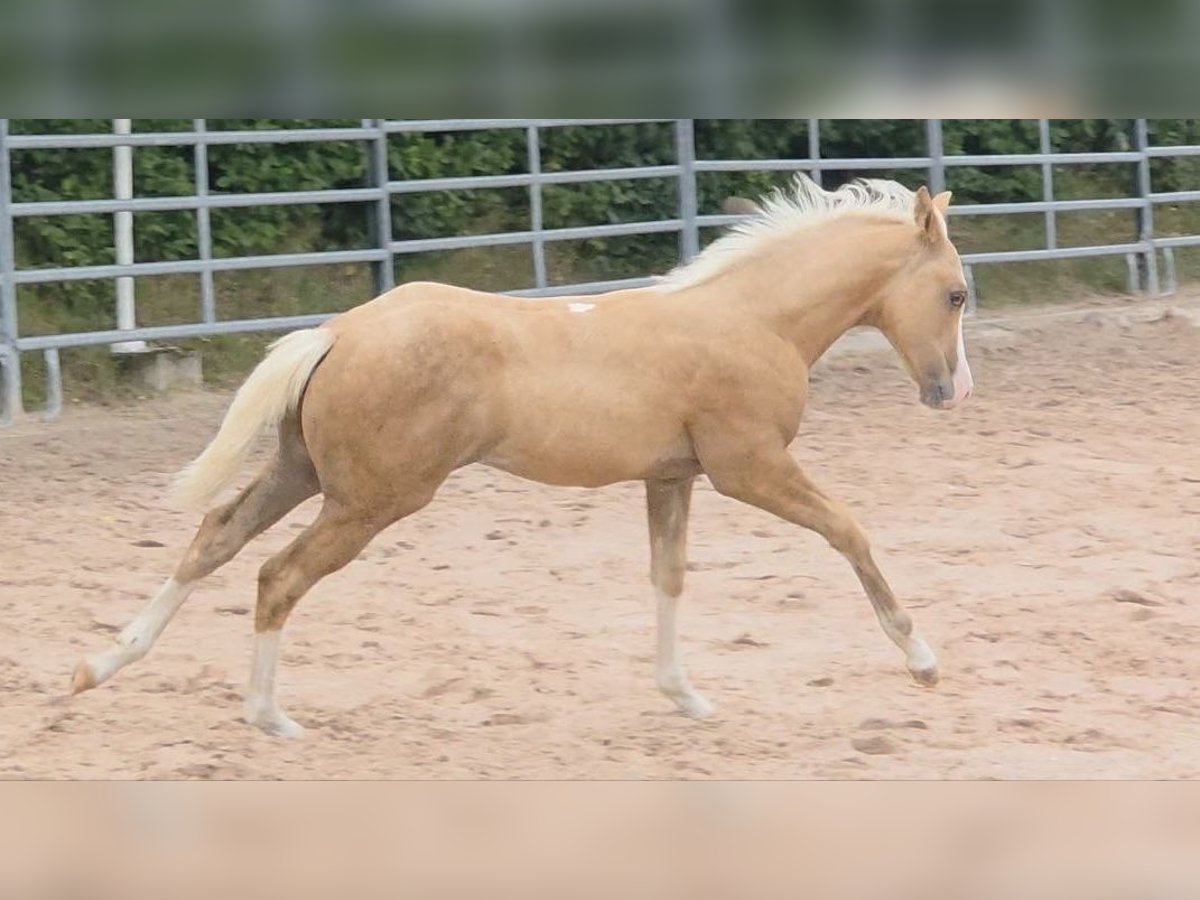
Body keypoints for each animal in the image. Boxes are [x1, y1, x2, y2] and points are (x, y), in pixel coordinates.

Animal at [70, 176, 973, 737]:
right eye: (957, 293)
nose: (951, 392)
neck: (752, 320)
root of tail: (339, 332)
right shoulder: (748, 469)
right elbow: (848, 531)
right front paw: (923, 660)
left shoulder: (671, 478)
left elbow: (668, 577)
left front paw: (685, 696)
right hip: (370, 499)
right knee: (277, 576)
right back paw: (269, 716)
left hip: (305, 473)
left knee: (214, 540)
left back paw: (100, 666)